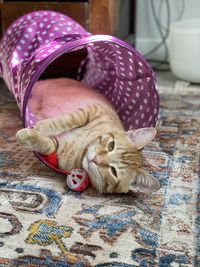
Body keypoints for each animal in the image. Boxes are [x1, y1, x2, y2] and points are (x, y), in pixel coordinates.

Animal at [15, 78, 160, 194]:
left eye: (113, 171)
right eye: (111, 145)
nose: (95, 159)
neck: (83, 147)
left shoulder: (58, 153)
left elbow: (49, 146)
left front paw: (29, 135)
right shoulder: (91, 110)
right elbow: (66, 121)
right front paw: (41, 127)